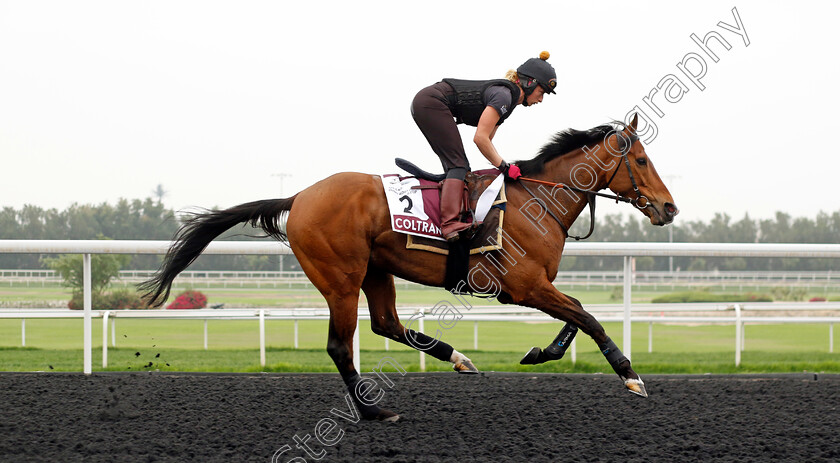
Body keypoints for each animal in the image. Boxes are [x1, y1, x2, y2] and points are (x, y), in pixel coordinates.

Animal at [139, 114, 676, 422]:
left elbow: (576, 316)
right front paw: (632, 376)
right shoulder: (523, 286)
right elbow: (588, 316)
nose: (669, 208)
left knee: (386, 324)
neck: (537, 200)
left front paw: (540, 352)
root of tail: (299, 196)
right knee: (341, 346)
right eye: (642, 160)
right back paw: (374, 411)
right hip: (340, 278)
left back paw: (458, 358)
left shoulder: (536, 286)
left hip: (376, 270)